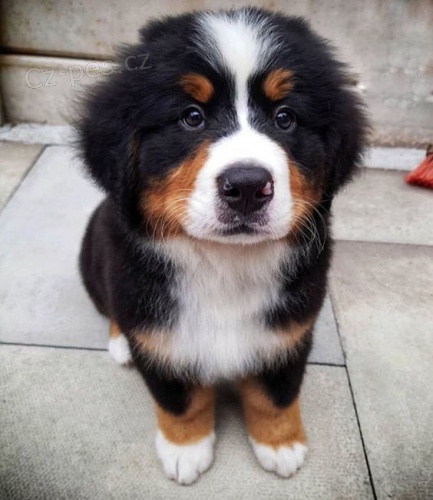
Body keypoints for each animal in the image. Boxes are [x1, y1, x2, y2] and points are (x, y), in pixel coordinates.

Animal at [77, 7, 367, 485]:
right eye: (191, 116)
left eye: (285, 117)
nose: (247, 186)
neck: (225, 264)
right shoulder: (162, 338)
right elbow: (180, 401)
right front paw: (185, 450)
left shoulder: (287, 331)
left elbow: (275, 396)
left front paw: (281, 444)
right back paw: (119, 343)